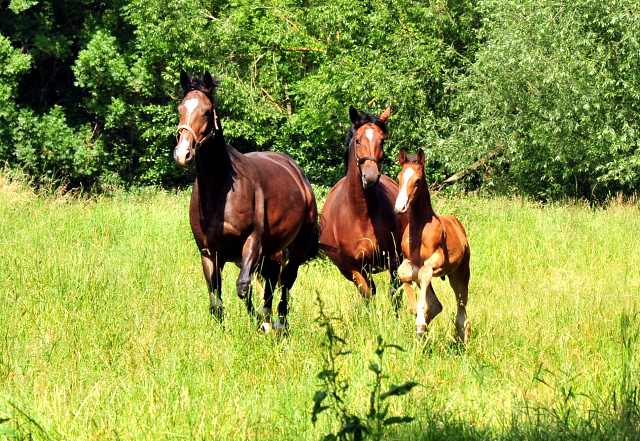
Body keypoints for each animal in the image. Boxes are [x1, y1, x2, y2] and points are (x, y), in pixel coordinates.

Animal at [175, 69, 318, 330]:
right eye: (181, 108)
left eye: (207, 111)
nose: (183, 154)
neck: (219, 193)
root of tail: (296, 170)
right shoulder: (209, 254)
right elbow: (217, 301)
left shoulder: (252, 243)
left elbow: (243, 287)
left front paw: (262, 320)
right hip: (272, 250)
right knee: (272, 277)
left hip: (299, 244)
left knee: (286, 280)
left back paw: (279, 322)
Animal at [318, 105, 404, 300]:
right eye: (357, 141)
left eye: (382, 141)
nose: (370, 178)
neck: (362, 214)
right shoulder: (356, 268)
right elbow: (368, 295)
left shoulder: (395, 258)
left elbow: (394, 293)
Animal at [390, 148, 470, 340]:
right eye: (399, 177)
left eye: (417, 180)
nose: (400, 207)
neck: (420, 228)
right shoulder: (409, 261)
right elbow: (403, 273)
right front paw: (415, 312)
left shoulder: (437, 260)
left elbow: (425, 271)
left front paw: (419, 318)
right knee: (436, 305)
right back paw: (421, 332)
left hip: (461, 274)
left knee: (462, 316)